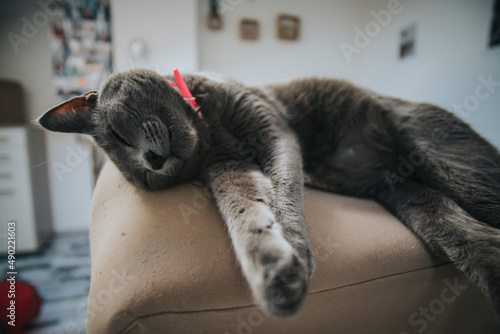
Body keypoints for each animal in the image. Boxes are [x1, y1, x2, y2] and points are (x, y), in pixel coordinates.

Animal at [37, 68, 498, 318]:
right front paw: (276, 271)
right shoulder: (230, 169)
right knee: (473, 239)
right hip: (416, 200)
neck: (207, 126)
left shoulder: (272, 128)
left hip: (446, 157)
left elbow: (285, 184)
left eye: (118, 132)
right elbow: (246, 215)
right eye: (151, 182)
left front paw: (295, 244)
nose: (152, 161)